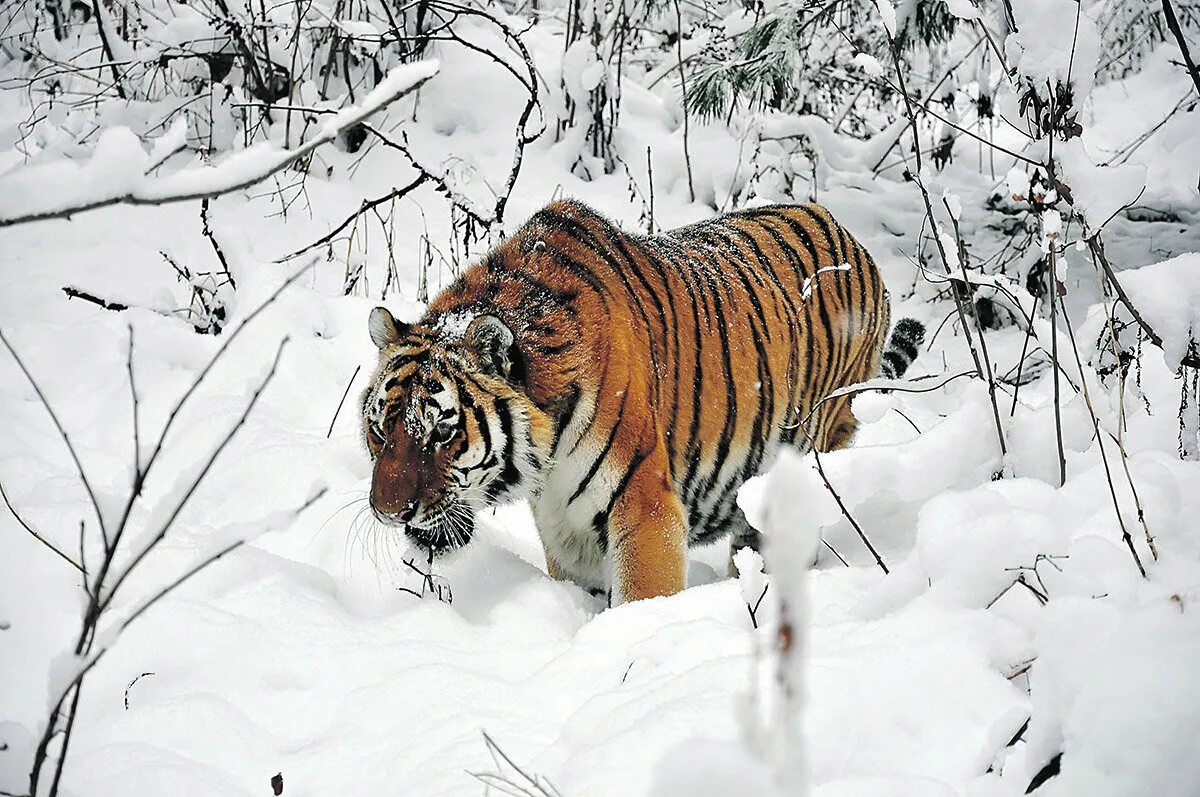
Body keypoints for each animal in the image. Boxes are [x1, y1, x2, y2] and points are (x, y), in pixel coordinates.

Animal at [360, 199, 921, 604]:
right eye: (380, 430)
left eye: (443, 431)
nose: (389, 513)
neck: (547, 457)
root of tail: (852, 236)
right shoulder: (566, 528)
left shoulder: (644, 505)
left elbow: (641, 599)